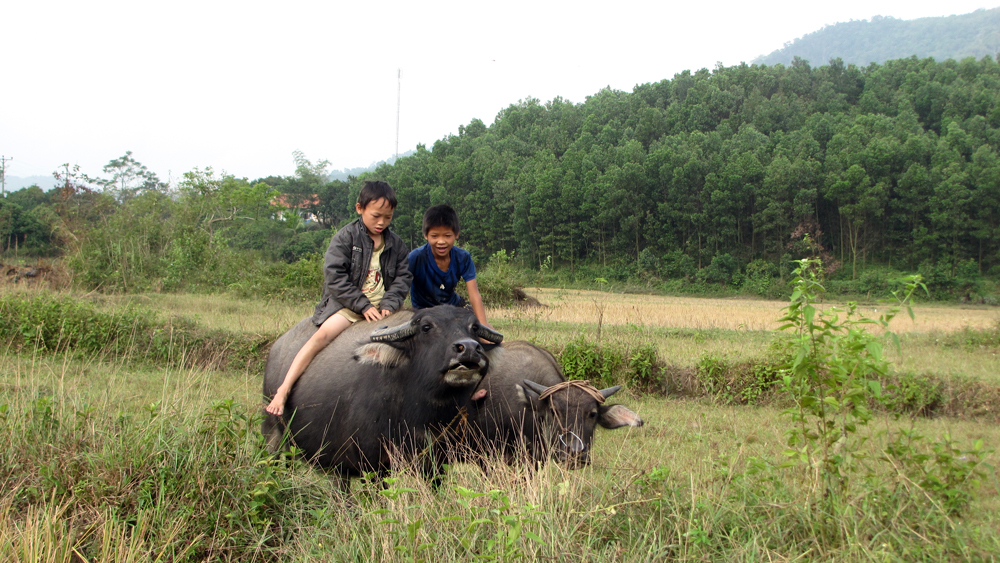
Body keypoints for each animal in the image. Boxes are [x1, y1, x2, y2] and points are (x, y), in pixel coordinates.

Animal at [262, 306, 504, 482]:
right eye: (426, 327)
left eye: (474, 328)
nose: (469, 348)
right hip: (273, 434)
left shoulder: (436, 463)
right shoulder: (373, 466)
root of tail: (276, 347)